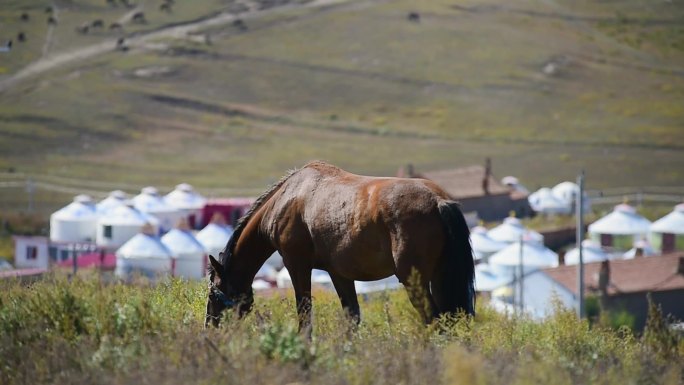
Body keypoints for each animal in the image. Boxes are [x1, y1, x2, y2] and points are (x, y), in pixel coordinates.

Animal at [206, 160, 476, 328]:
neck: (286, 199)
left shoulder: (296, 265)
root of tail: (439, 202)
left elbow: (305, 314)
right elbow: (352, 317)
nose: (210, 325)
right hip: (440, 278)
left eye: (215, 292)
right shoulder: (339, 274)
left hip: (414, 280)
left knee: (433, 319)